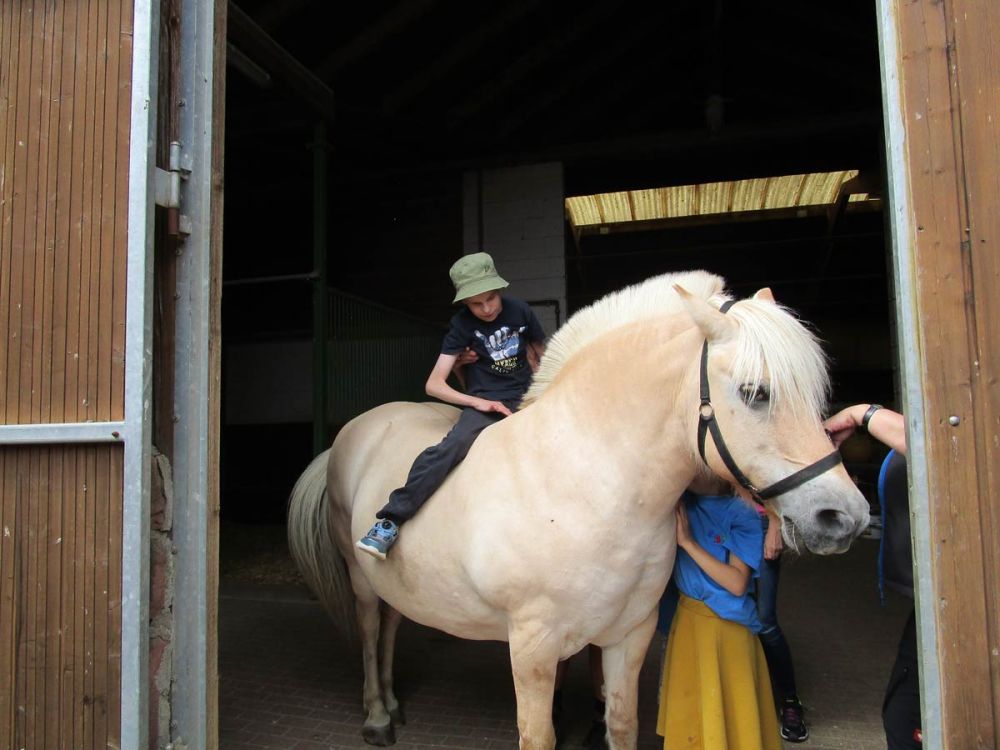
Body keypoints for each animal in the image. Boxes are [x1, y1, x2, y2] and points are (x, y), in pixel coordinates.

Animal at [287, 270, 869, 750]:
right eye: (754, 392)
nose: (843, 517)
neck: (583, 479)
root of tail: (352, 433)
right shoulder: (532, 648)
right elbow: (538, 736)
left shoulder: (629, 636)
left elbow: (621, 725)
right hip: (359, 575)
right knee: (370, 629)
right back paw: (378, 716)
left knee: (389, 625)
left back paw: (392, 703)